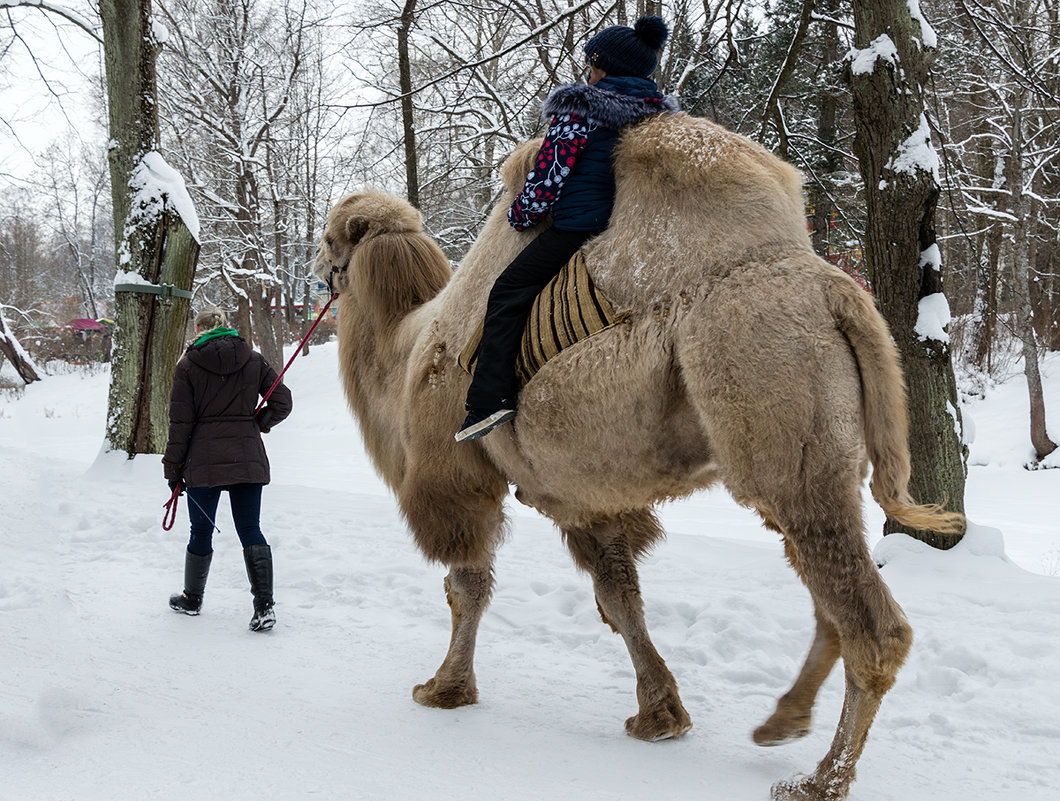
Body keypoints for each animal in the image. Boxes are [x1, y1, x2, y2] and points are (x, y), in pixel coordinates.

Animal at [309, 114, 966, 801]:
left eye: (330, 237)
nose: (315, 267)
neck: (408, 349)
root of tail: (836, 291)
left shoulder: (456, 476)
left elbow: (468, 586)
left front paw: (443, 689)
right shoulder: (583, 492)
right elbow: (618, 593)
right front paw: (660, 714)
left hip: (772, 399)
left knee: (870, 622)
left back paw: (818, 780)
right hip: (809, 452)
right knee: (826, 593)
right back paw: (781, 724)